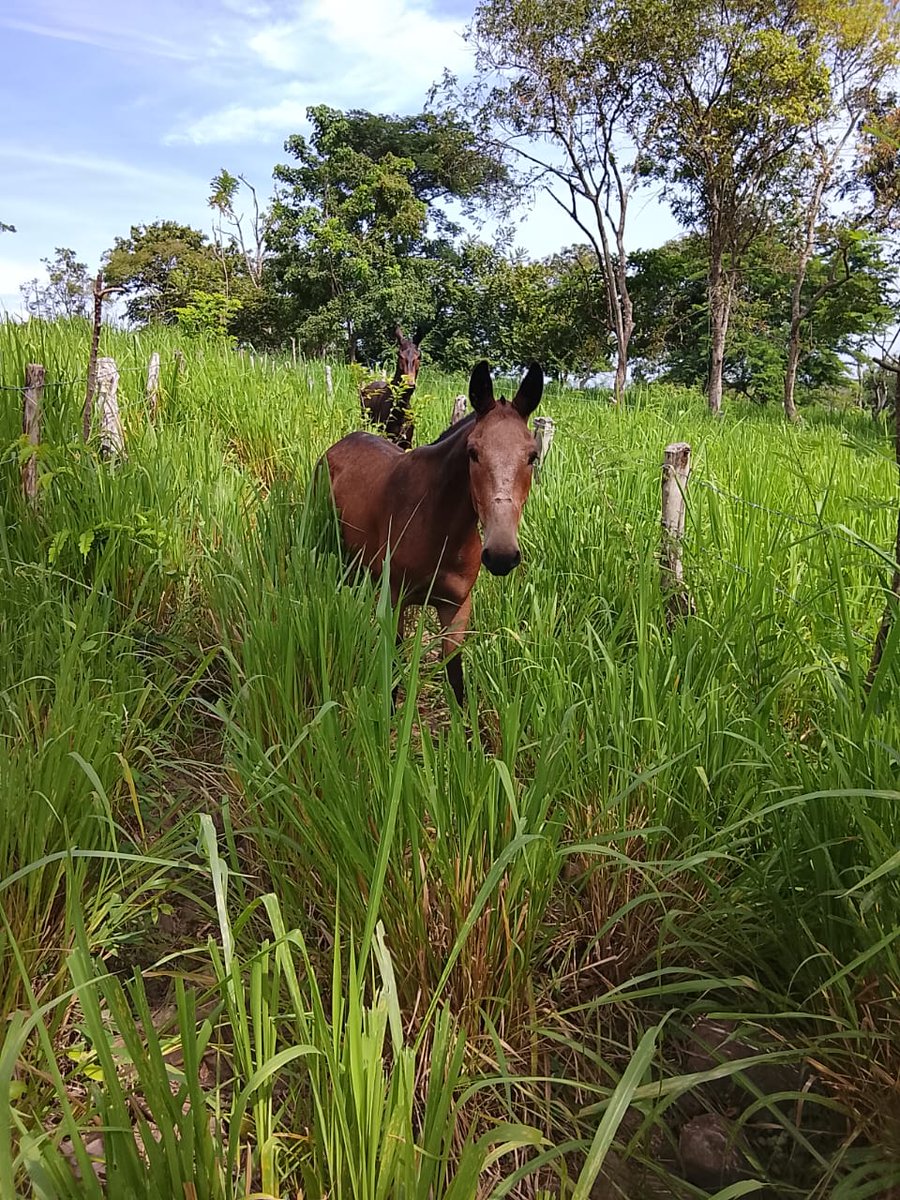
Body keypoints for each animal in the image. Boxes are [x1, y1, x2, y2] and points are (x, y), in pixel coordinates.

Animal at [326, 359, 543, 706]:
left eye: (532, 456)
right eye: (473, 452)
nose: (501, 555)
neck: (438, 528)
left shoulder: (456, 608)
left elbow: (455, 680)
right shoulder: (394, 600)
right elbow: (393, 668)